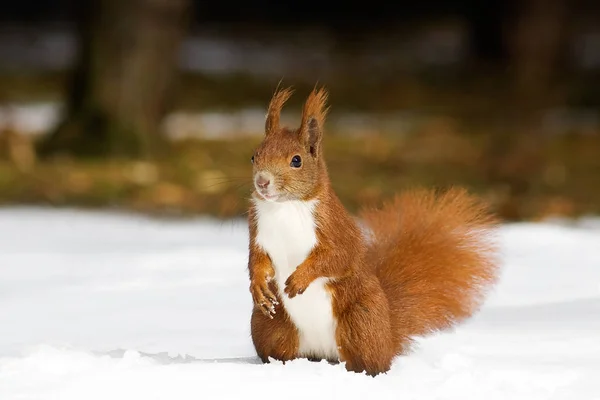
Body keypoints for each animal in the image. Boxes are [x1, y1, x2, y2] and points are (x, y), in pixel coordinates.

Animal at [246, 86, 500, 376]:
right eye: (254, 156)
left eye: (296, 161)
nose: (262, 182)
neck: (285, 207)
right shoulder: (257, 231)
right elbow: (256, 261)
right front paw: (258, 286)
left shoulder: (334, 228)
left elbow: (337, 257)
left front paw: (300, 278)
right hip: (271, 325)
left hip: (361, 321)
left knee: (371, 362)